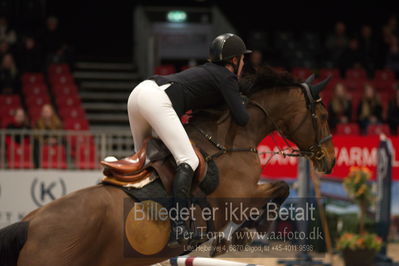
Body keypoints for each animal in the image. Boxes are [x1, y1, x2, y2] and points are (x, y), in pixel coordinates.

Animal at [0, 67, 336, 266]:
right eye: (323, 114)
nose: (330, 160)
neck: (231, 141)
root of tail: (29, 225)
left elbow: (280, 189)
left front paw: (236, 237)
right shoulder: (239, 197)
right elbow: (280, 188)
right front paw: (237, 237)